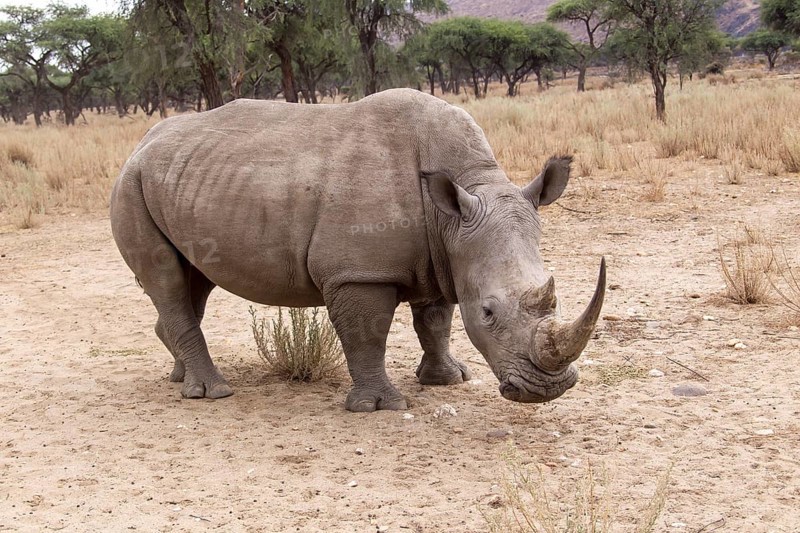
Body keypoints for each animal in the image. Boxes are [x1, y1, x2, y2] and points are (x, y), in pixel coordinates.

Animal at [110, 88, 605, 412]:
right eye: (488, 313)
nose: (548, 389)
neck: (455, 209)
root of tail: (139, 145)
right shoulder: (359, 271)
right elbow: (368, 334)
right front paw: (378, 406)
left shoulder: (444, 255)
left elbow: (436, 322)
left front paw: (447, 380)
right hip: (130, 184)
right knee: (167, 279)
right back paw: (211, 393)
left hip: (185, 181)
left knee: (194, 280)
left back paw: (179, 376)